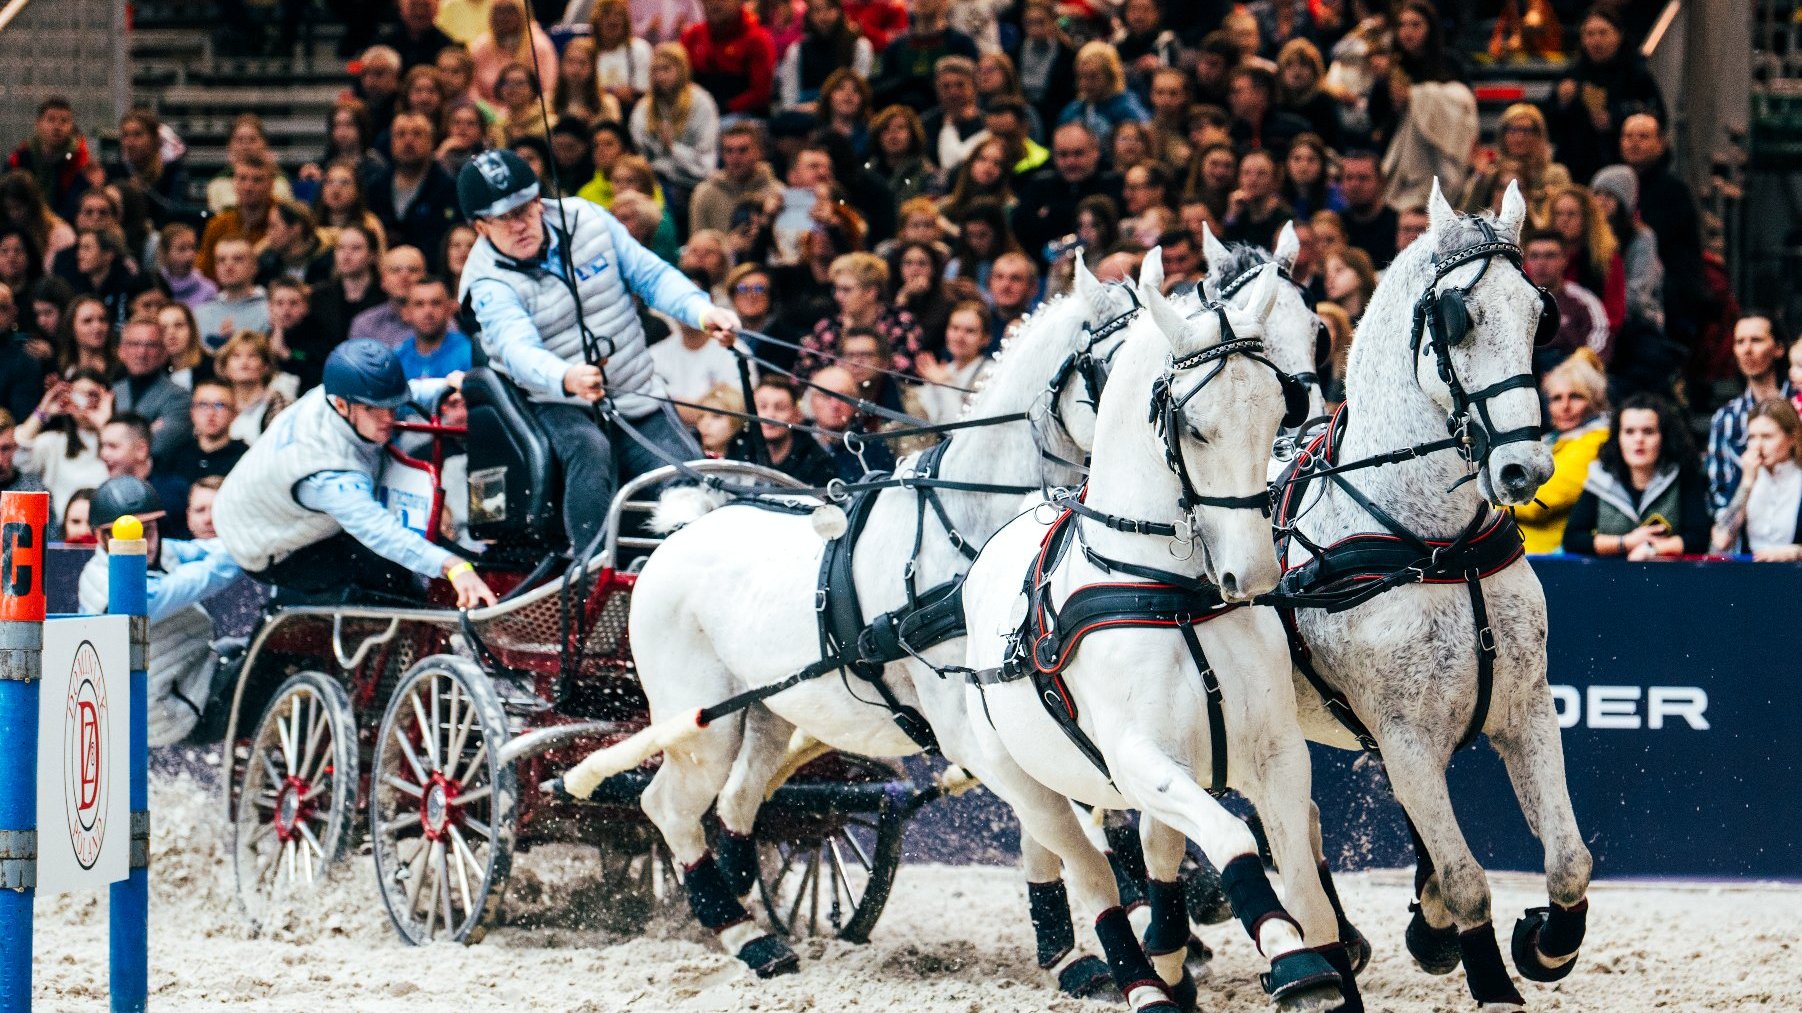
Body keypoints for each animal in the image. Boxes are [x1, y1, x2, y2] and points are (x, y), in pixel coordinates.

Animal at [558, 264, 1138, 973]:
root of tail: (674, 536)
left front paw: (1064, 941)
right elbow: (1049, 817)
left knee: (737, 801)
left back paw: (744, 888)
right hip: (701, 724)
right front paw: (1074, 950)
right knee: (665, 806)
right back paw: (744, 934)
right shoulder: (969, 726)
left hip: (769, 711)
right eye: (1116, 367)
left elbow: (1051, 819)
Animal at [958, 261, 1355, 1009]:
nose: (1253, 574)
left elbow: (1306, 888)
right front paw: (1290, 959)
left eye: (1276, 410)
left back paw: (1169, 954)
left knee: (1156, 846)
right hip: (1030, 787)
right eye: (1193, 427)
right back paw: (1141, 981)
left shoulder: (1277, 752)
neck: (1170, 596)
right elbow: (1230, 837)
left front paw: (1325, 960)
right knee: (1093, 876)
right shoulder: (1139, 756)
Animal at [1275, 181, 1585, 1009]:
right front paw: (1485, 966)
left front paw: (1546, 943)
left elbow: (1568, 861)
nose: (1524, 470)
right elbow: (1469, 878)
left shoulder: (1527, 708)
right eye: (1457, 317)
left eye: (1539, 314)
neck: (1438, 547)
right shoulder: (1405, 736)